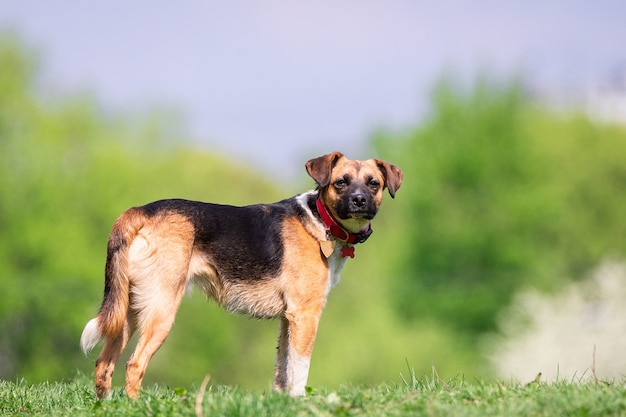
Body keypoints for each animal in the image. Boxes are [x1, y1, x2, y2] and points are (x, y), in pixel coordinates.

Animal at [79, 151, 400, 398]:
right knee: (134, 365)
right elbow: (299, 370)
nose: (359, 200)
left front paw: (282, 403)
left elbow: (282, 369)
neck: (320, 219)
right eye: (340, 182)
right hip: (160, 310)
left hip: (128, 310)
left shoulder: (288, 319)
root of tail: (141, 211)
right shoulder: (305, 315)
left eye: (374, 184)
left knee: (103, 365)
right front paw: (299, 403)